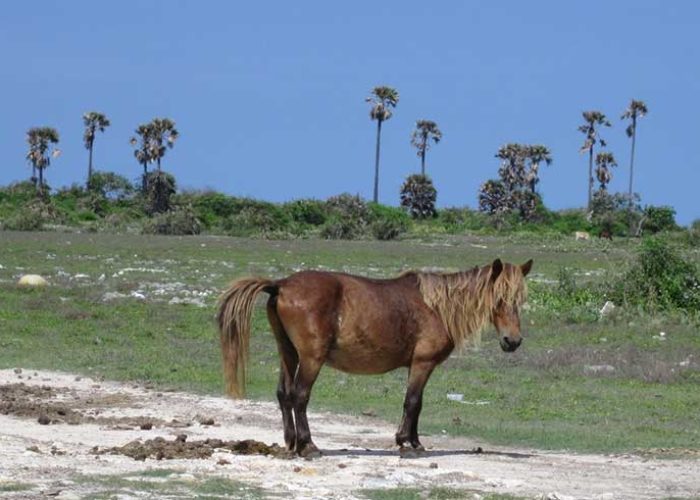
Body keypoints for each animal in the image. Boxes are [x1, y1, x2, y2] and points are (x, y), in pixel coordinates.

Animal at [216, 258, 532, 458]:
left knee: (284, 395)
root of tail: (281, 284)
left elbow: (416, 404)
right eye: (500, 299)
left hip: (288, 354)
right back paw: (308, 446)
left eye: (520, 299)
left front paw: (413, 441)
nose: (513, 341)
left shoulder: (417, 366)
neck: (437, 307)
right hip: (310, 359)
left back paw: (292, 443)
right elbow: (413, 402)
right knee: (299, 396)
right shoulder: (423, 364)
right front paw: (408, 444)